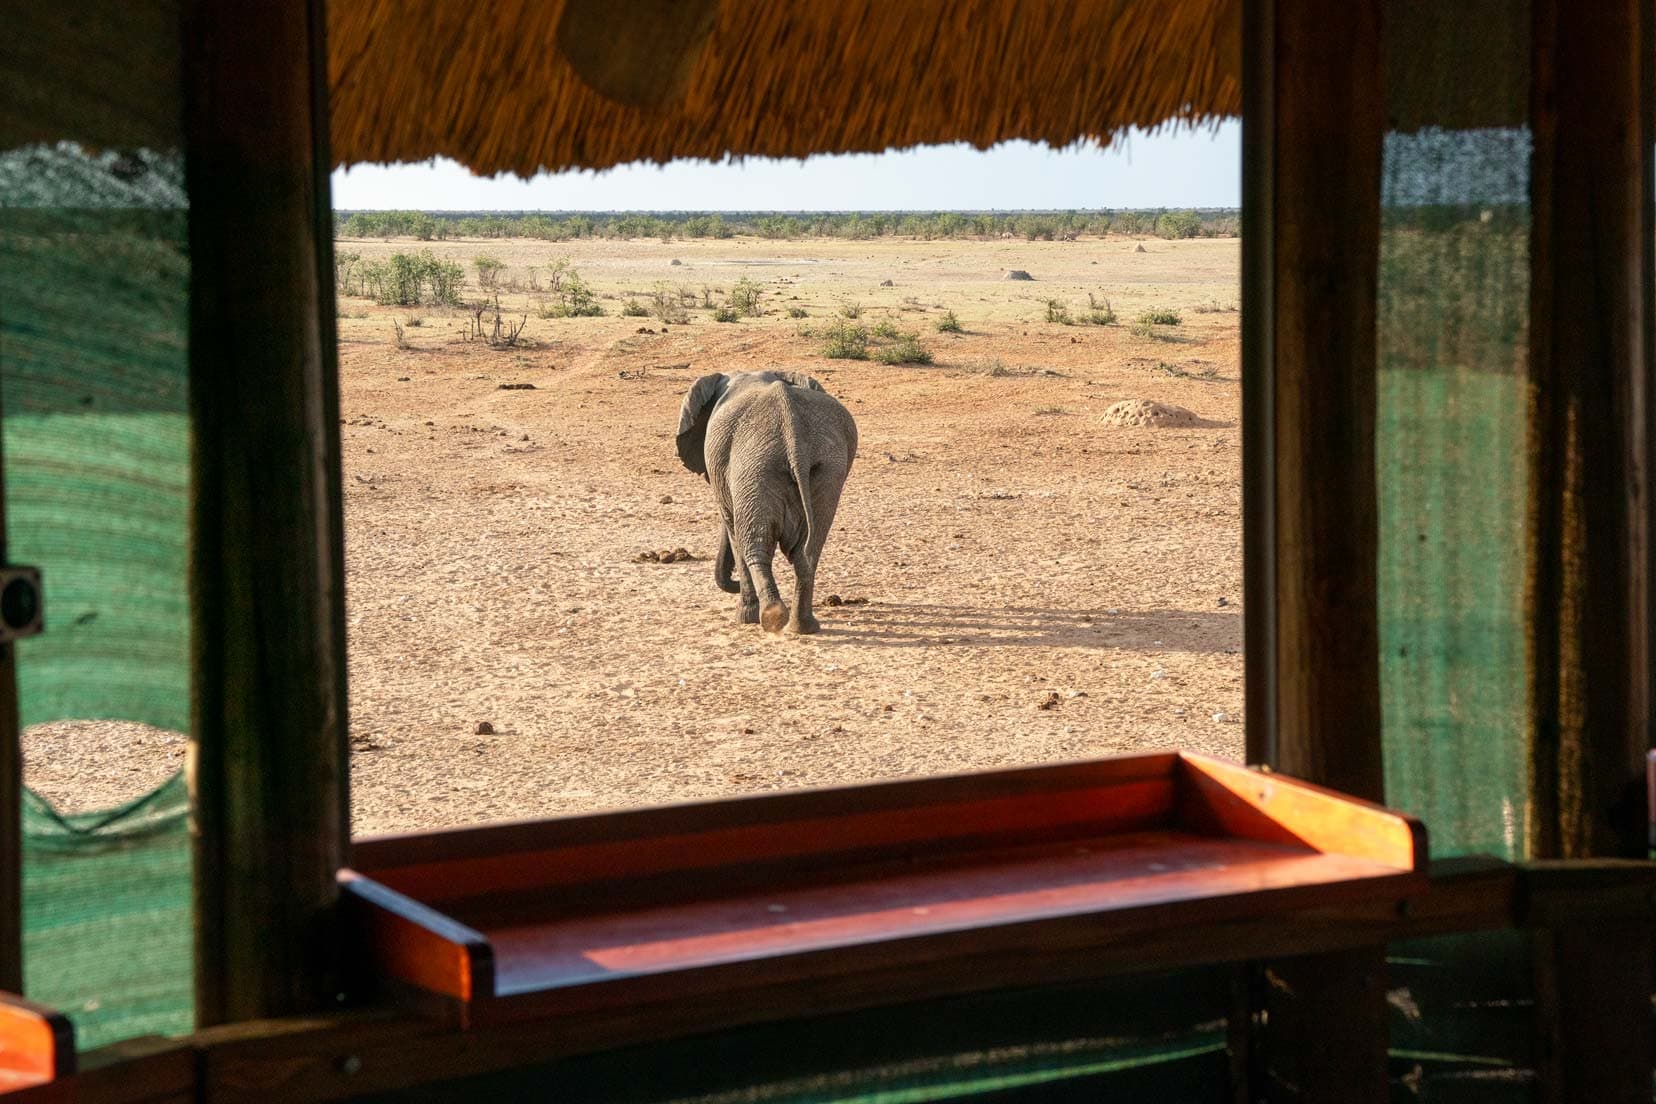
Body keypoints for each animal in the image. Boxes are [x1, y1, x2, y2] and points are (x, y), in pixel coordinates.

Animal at [672, 369, 861, 635]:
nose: (733, 583)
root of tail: (794, 436)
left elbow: (734, 534)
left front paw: (745, 618)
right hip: (826, 470)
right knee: (807, 552)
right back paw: (803, 627)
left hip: (754, 469)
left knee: (754, 546)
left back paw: (771, 617)